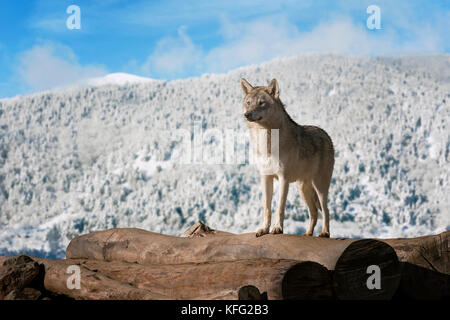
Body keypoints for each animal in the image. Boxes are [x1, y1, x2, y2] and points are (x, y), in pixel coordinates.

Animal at [243, 77, 334, 238]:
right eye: (248, 103)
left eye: (261, 103)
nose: (247, 114)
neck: (266, 141)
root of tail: (326, 134)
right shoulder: (265, 177)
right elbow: (266, 208)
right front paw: (263, 229)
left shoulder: (283, 178)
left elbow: (279, 207)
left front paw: (277, 229)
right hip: (302, 189)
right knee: (314, 212)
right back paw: (307, 234)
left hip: (320, 187)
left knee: (326, 210)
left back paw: (324, 233)